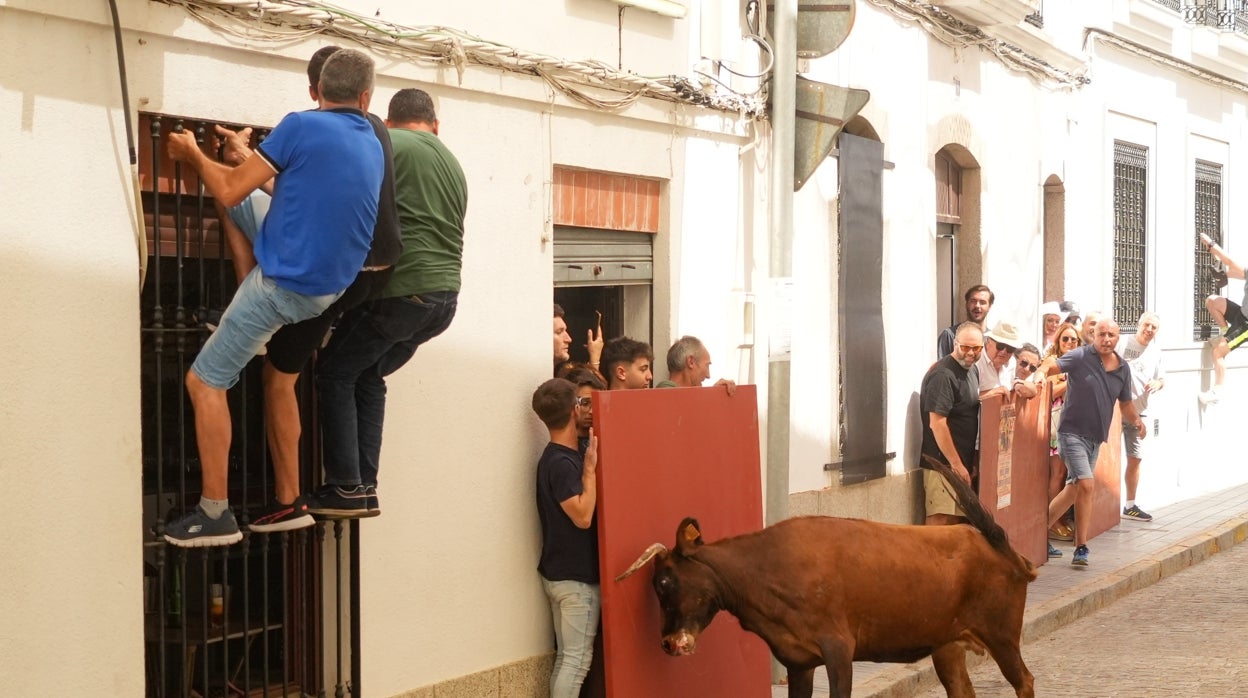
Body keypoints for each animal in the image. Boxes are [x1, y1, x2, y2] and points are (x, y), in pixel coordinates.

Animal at [614, 459, 1033, 698]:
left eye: (665, 582)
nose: (669, 643)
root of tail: (1001, 547)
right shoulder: (798, 660)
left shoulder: (839, 649)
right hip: (947, 644)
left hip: (1001, 635)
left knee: (1024, 681)